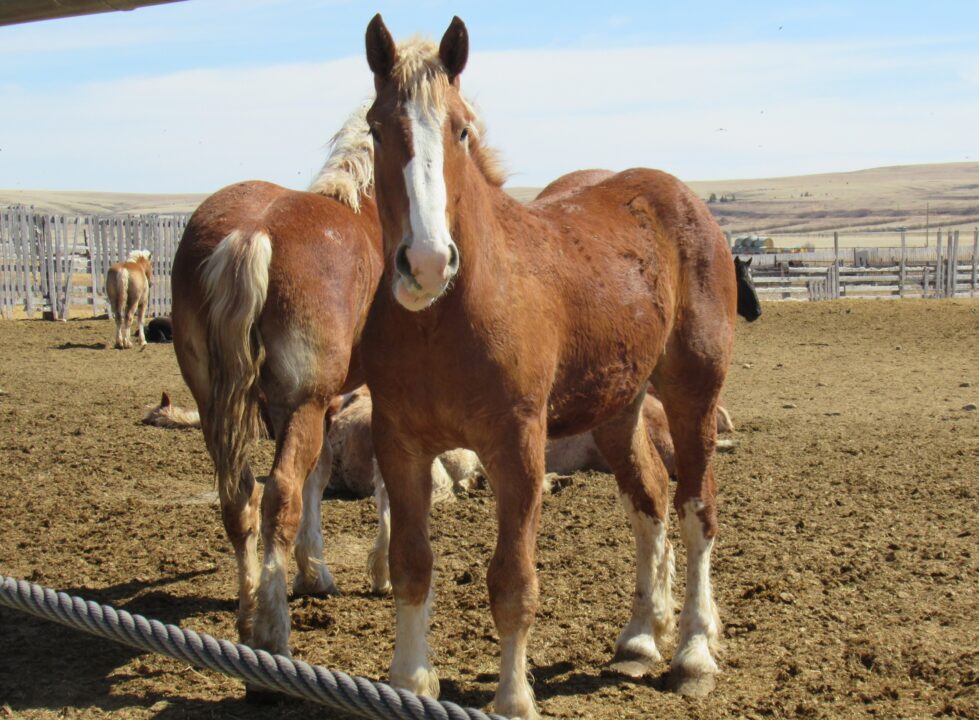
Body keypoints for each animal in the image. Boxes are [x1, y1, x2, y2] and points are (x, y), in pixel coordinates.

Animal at [170, 104, 384, 660]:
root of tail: (252, 231)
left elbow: (319, 474)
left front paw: (314, 573)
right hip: (302, 402)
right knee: (279, 494)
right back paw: (272, 630)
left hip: (216, 404)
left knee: (240, 496)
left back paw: (249, 612)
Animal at [362, 17, 737, 717]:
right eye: (376, 127)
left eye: (461, 129)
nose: (426, 262)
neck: (444, 319)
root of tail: (684, 200)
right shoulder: (399, 444)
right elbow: (411, 563)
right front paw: (409, 681)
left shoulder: (516, 447)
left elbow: (512, 580)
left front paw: (513, 697)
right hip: (618, 409)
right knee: (649, 497)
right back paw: (640, 639)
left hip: (693, 394)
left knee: (697, 508)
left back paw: (694, 652)